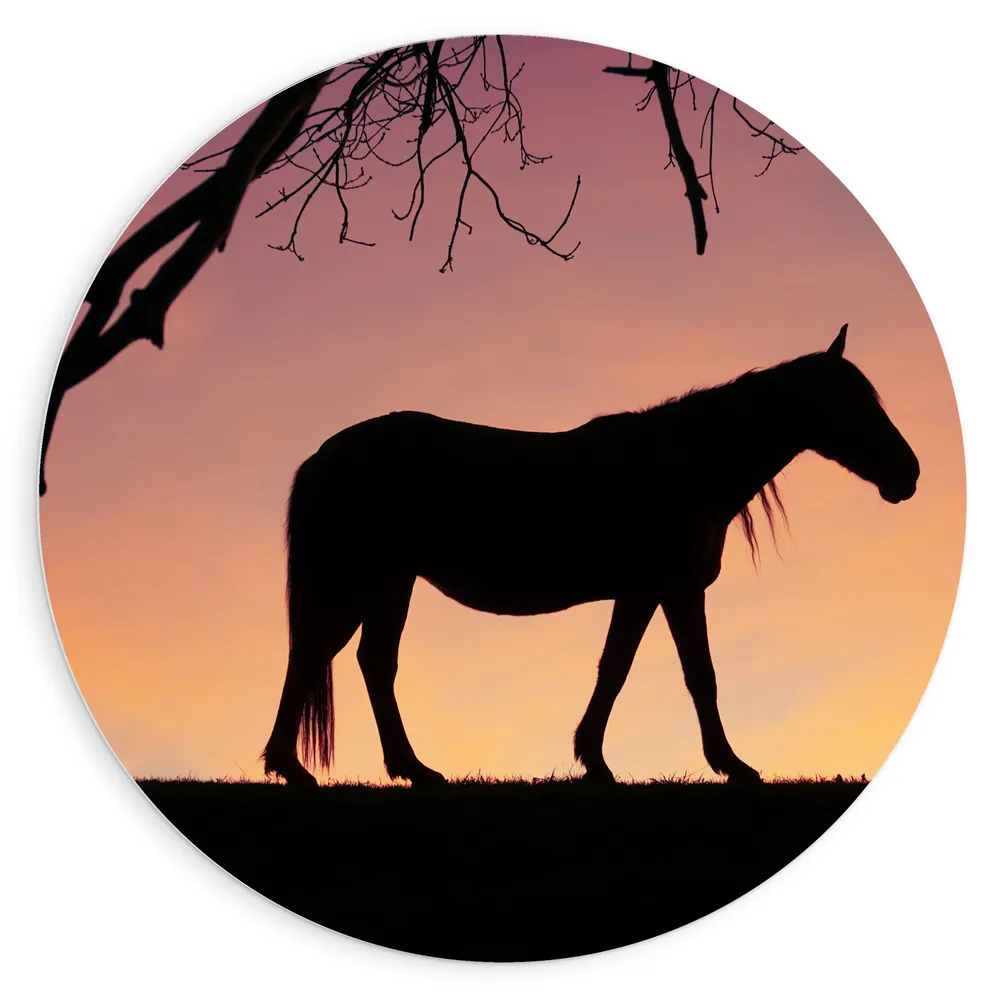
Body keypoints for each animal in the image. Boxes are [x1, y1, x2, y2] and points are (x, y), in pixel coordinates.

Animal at [261, 325, 919, 788]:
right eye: (852, 404)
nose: (908, 474)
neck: (686, 464)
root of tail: (324, 454)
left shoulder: (643, 592)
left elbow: (618, 669)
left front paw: (596, 760)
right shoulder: (674, 589)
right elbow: (694, 675)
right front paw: (730, 766)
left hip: (387, 582)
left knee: (357, 659)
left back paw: (389, 768)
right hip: (369, 579)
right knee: (329, 655)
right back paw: (315, 768)